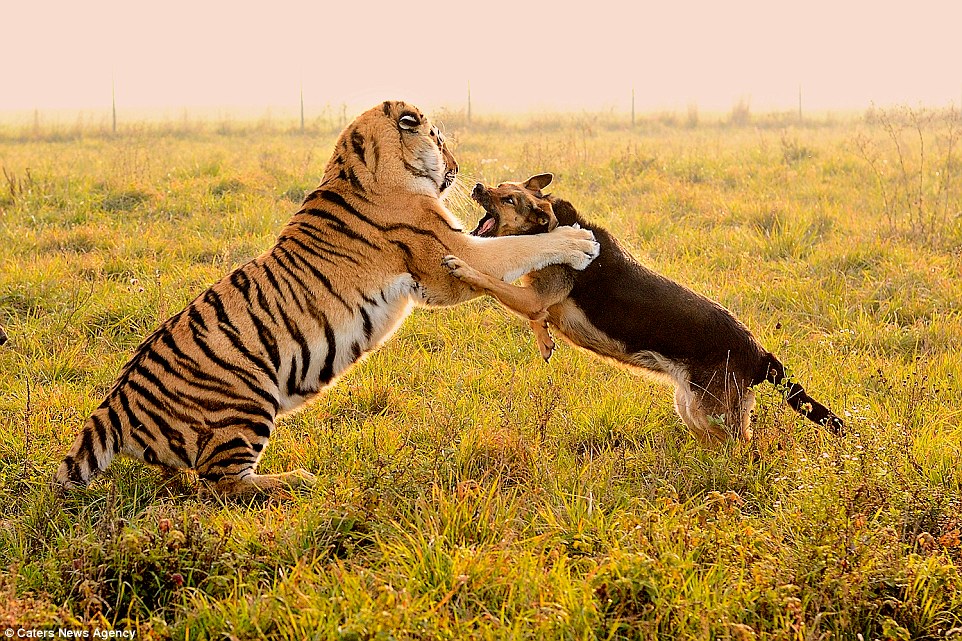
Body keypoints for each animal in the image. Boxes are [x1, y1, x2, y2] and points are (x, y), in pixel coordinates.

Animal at [54, 101, 600, 495]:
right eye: (439, 140)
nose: (458, 167)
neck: (361, 162)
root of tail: (117, 400)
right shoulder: (452, 255)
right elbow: (518, 248)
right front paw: (578, 241)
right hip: (247, 398)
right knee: (222, 484)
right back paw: (294, 480)